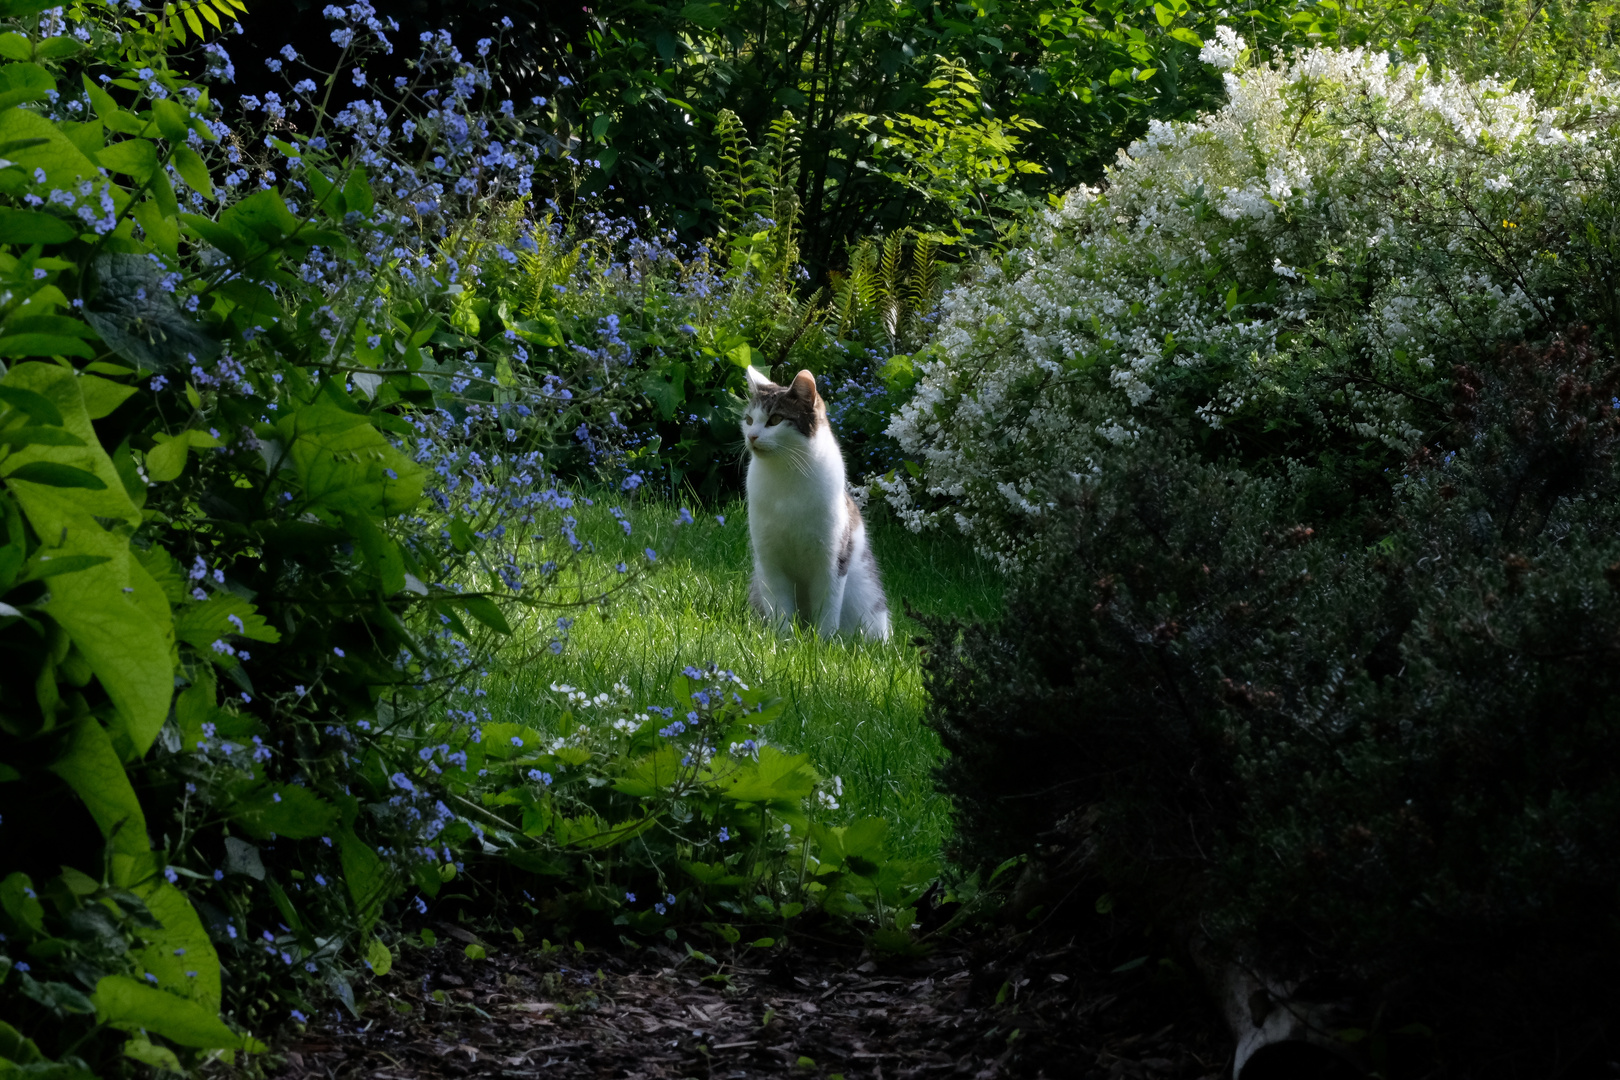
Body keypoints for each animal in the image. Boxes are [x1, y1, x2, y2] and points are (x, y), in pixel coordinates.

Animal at [741, 369, 894, 641]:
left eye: (775, 419)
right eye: (749, 420)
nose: (751, 436)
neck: (785, 476)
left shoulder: (832, 560)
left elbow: (827, 606)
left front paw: (823, 642)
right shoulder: (768, 560)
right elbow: (779, 606)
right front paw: (783, 639)